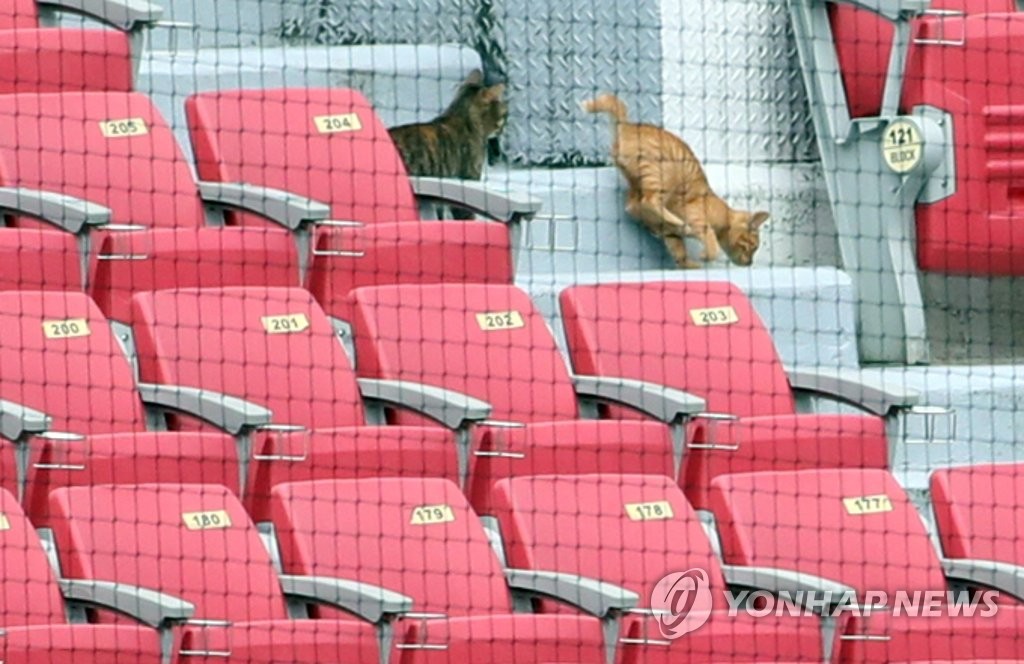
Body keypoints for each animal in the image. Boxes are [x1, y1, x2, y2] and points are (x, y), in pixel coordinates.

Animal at [585, 94, 770, 270]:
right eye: (752, 247)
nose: (750, 263)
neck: (723, 214)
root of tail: (627, 125)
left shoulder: (670, 234)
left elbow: (679, 250)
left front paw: (688, 265)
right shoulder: (697, 216)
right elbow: (711, 241)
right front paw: (706, 254)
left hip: (638, 184)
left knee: (634, 205)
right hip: (663, 178)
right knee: (650, 201)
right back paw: (678, 221)